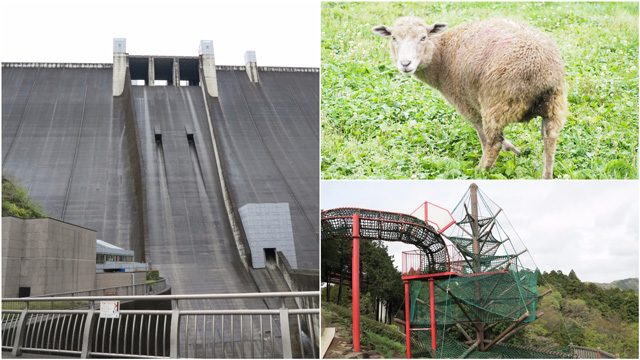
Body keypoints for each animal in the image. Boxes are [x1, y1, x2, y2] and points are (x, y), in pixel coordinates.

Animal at [372, 17, 568, 180]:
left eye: (423, 37)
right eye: (393, 38)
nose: (405, 64)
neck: (441, 58)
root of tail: (542, 73)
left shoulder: (466, 103)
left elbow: (485, 136)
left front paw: (510, 151)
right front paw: (515, 151)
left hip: (496, 103)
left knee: (492, 142)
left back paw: (479, 171)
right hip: (554, 104)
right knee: (550, 137)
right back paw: (546, 176)